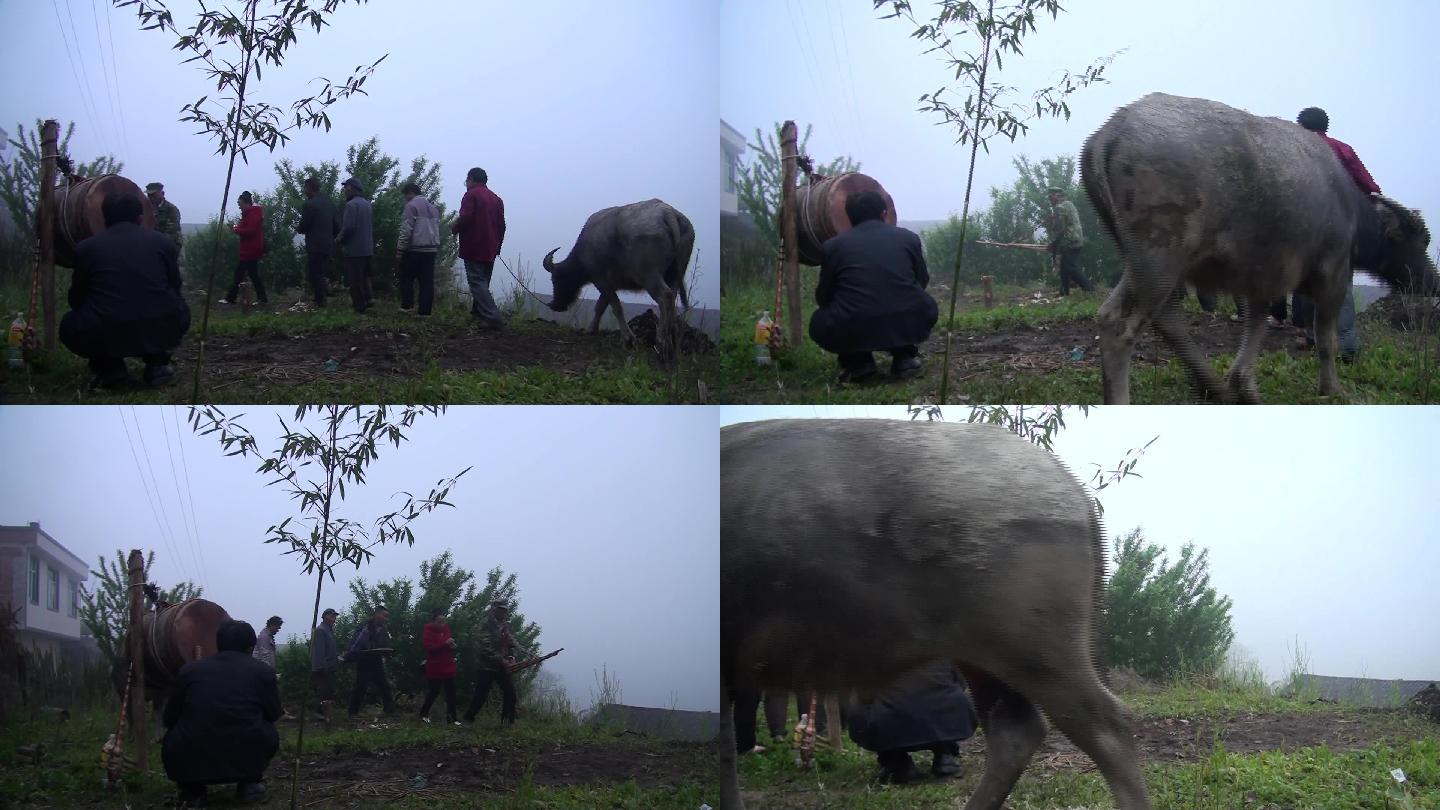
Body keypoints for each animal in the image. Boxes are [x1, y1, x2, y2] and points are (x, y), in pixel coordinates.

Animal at [541, 197, 694, 353]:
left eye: (557, 279)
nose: (554, 305)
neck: (584, 252)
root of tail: (668, 214)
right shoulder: (608, 286)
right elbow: (600, 306)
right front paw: (591, 329)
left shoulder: (602, 282)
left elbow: (615, 308)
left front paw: (628, 339)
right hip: (676, 275)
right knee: (672, 297)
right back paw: (670, 341)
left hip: (649, 276)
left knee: (665, 296)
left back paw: (661, 341)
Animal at [1082, 92, 1434, 400]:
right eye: (1418, 241)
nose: (1432, 281)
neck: (1350, 208)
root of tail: (1109, 131)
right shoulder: (1333, 272)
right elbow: (1325, 338)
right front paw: (1332, 388)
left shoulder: (1263, 275)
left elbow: (1257, 323)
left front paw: (1243, 384)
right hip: (1161, 256)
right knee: (1128, 328)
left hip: (1139, 260)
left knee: (1129, 316)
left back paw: (1214, 388)